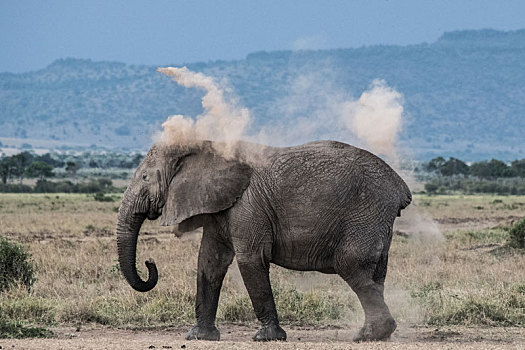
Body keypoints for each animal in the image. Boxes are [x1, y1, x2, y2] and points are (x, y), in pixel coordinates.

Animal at [116, 139, 412, 342]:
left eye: (145, 177)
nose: (149, 262)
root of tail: (401, 188)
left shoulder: (247, 207)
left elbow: (250, 260)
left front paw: (267, 338)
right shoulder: (220, 208)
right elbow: (210, 263)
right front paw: (199, 336)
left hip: (366, 213)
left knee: (351, 265)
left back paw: (369, 336)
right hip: (375, 220)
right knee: (375, 273)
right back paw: (374, 334)